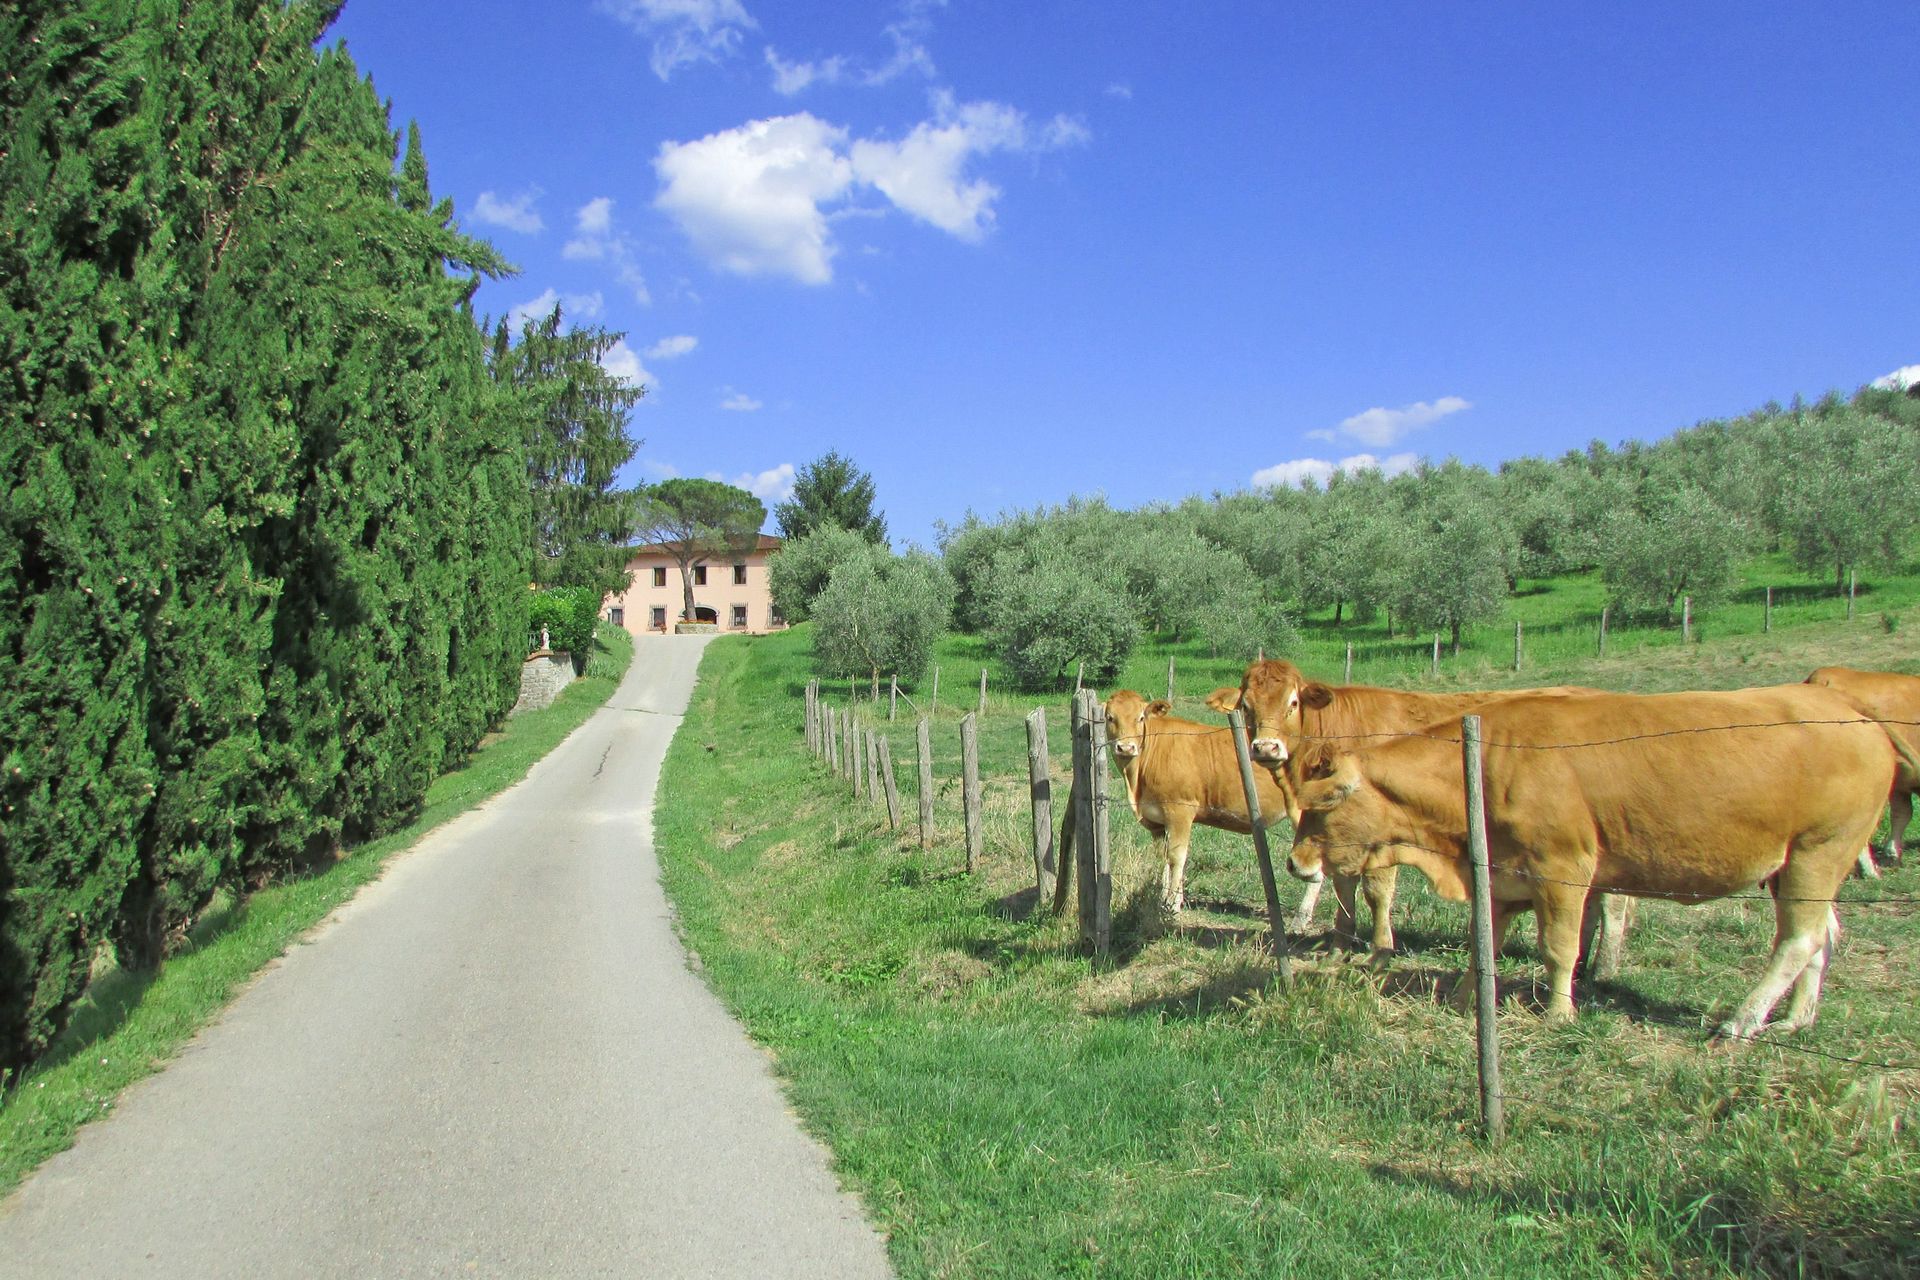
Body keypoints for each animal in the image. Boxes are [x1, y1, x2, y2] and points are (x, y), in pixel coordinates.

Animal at [1101, 690, 1293, 914]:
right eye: (1110, 718)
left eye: (1140, 718)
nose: (1125, 747)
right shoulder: (1156, 822)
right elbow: (1163, 859)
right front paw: (1160, 898)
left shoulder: (1180, 812)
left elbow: (1177, 857)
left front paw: (1173, 903)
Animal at [1204, 662, 1598, 963]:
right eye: (1246, 706)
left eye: (1294, 701)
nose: (1265, 747)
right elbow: (1344, 884)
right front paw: (1338, 948)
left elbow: (1377, 891)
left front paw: (1380, 951)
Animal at [1281, 684, 1893, 1038]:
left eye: (1326, 802)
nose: (1294, 862)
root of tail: (1863, 721)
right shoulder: (1499, 875)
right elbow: (1485, 942)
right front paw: (1463, 998)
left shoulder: (1563, 870)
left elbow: (1558, 948)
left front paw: (1558, 1013)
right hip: (1795, 867)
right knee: (1823, 935)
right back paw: (1795, 1018)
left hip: (1819, 852)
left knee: (1798, 940)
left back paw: (1743, 1020)